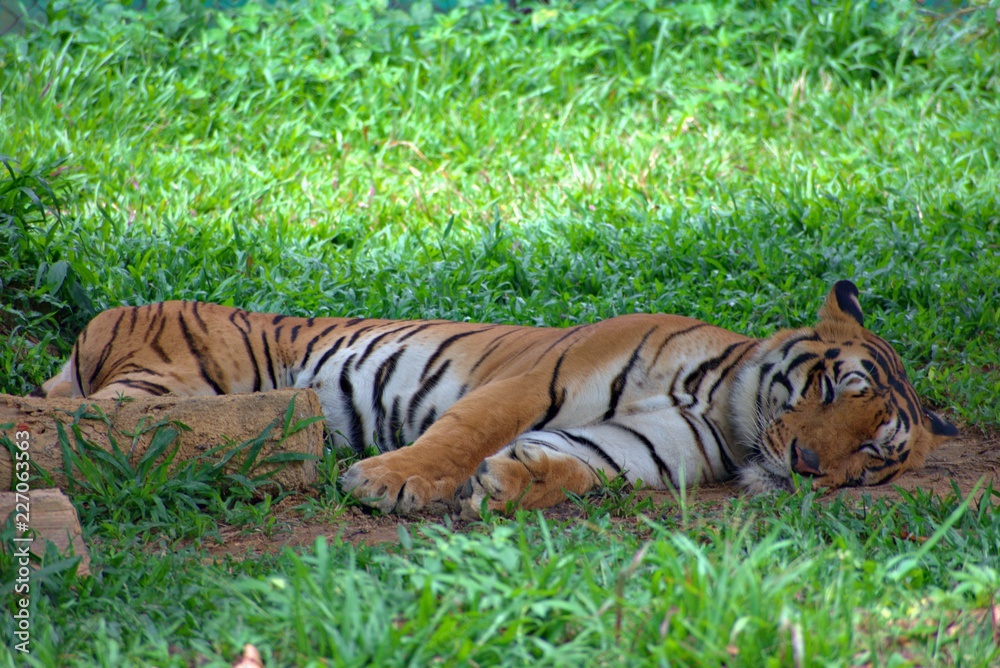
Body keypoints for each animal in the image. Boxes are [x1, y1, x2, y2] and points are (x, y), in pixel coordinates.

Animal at [35, 280, 957, 517]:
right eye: (830, 386)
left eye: (871, 455)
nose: (805, 464)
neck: (721, 405)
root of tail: (111, 315)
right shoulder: (536, 378)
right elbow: (466, 430)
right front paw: (390, 483)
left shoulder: (650, 444)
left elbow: (583, 463)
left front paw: (507, 483)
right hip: (162, 383)